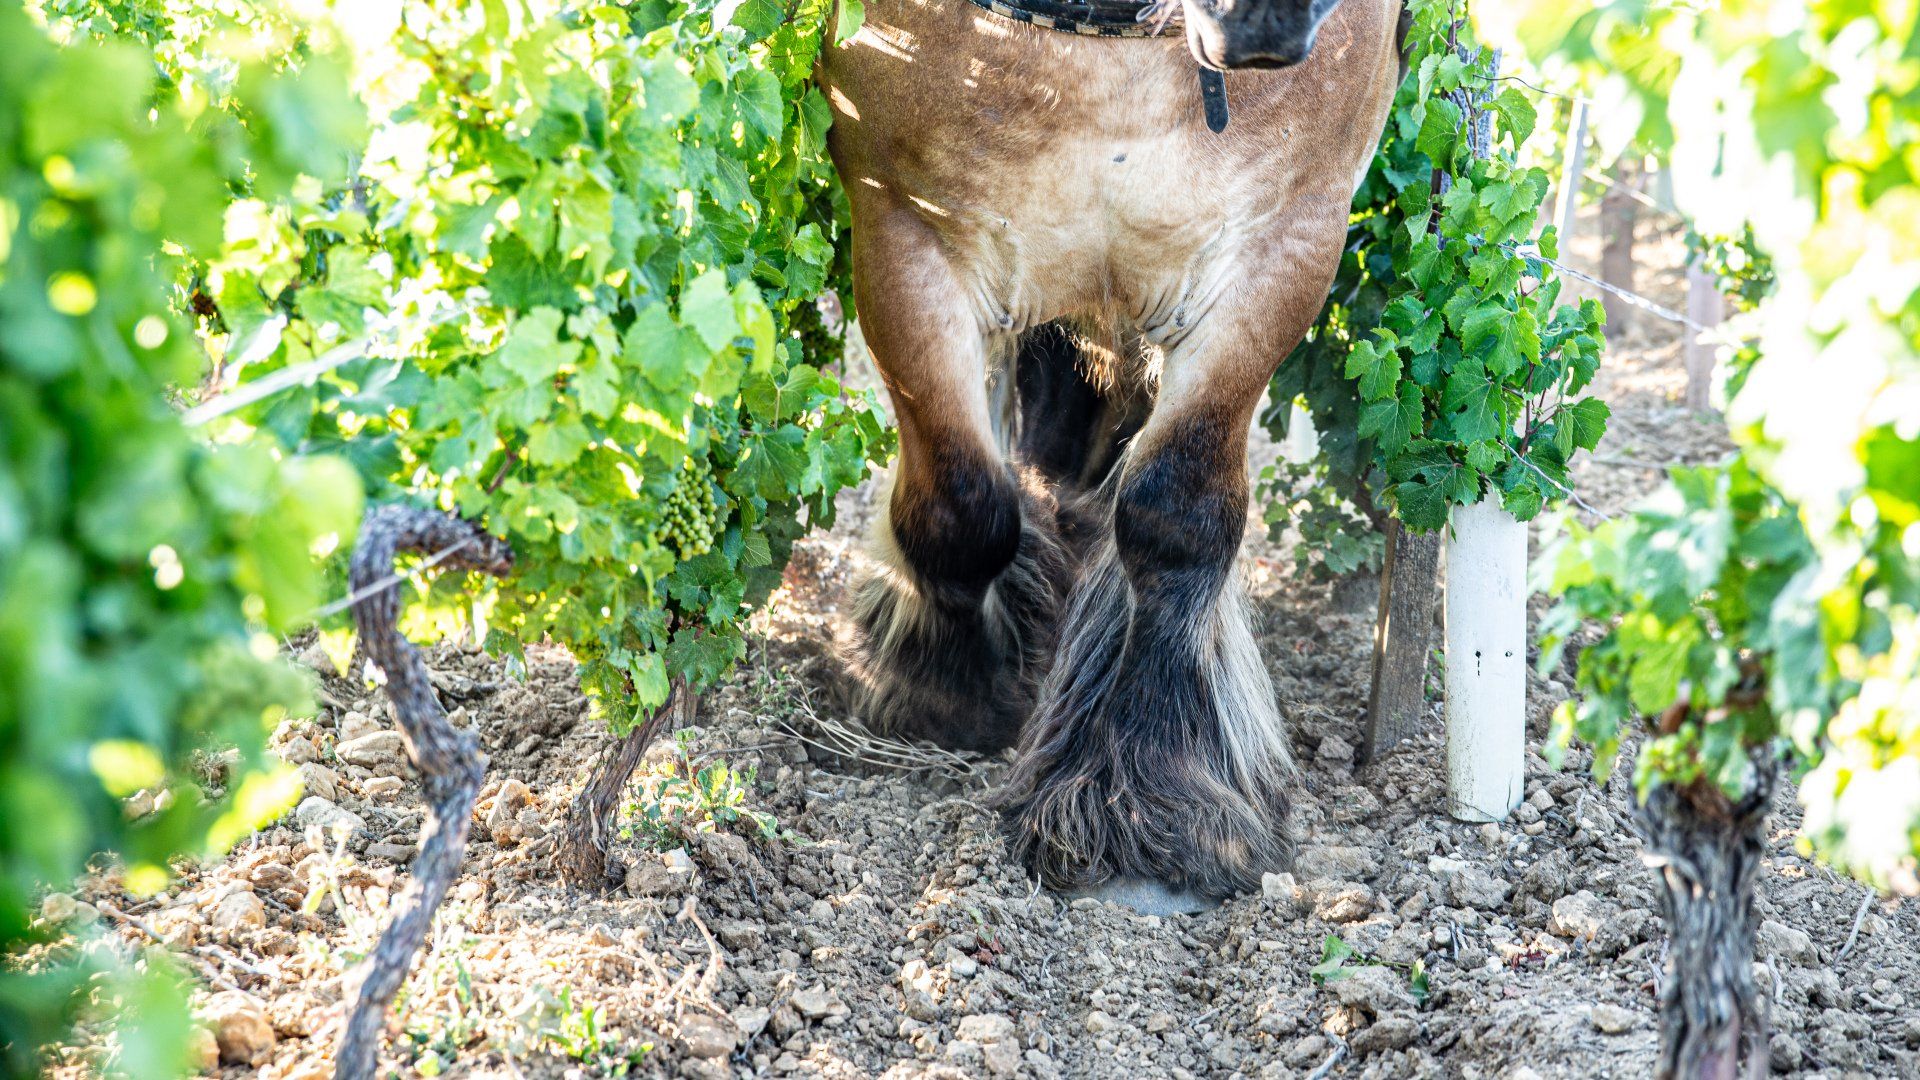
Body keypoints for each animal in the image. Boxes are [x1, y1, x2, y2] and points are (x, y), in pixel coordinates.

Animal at [821, 0, 1404, 910]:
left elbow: (1177, 514)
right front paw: (941, 689)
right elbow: (960, 504)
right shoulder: (901, 229)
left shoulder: (1288, 243)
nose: (1266, 20)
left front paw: (1151, 787)